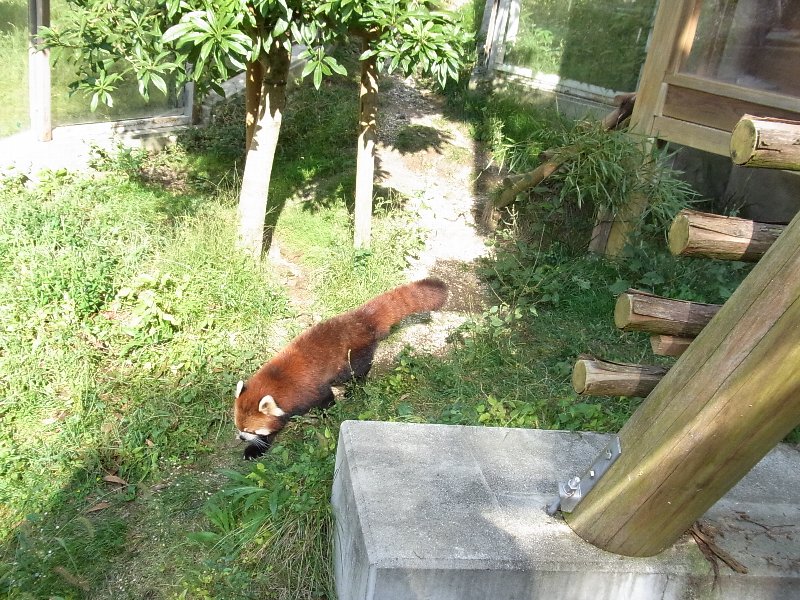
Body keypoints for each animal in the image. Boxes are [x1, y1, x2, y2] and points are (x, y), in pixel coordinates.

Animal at [233, 278, 450, 460]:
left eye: (250, 430)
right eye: (239, 426)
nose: (242, 438)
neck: (278, 380)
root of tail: (359, 320)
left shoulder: (309, 389)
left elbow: (325, 399)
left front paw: (326, 414)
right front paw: (255, 449)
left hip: (352, 358)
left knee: (358, 371)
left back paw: (354, 389)